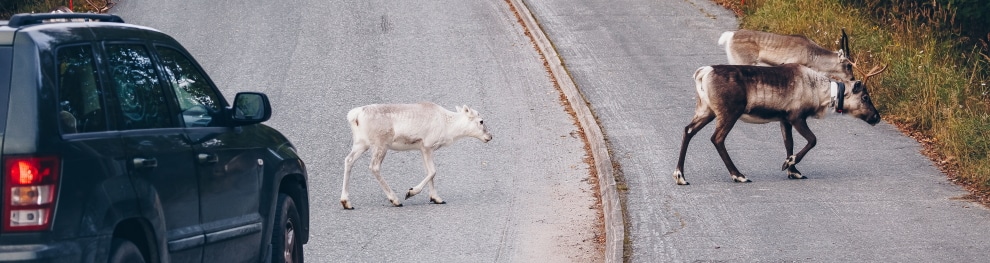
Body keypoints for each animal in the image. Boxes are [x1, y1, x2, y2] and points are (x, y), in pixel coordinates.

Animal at [342, 103, 494, 210]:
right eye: (481, 121)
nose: (490, 136)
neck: (448, 126)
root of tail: (354, 116)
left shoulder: (422, 149)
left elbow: (430, 173)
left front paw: (436, 198)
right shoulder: (427, 146)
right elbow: (433, 172)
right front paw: (410, 192)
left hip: (361, 144)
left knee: (348, 160)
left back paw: (346, 202)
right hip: (380, 144)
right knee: (374, 167)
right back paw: (395, 200)